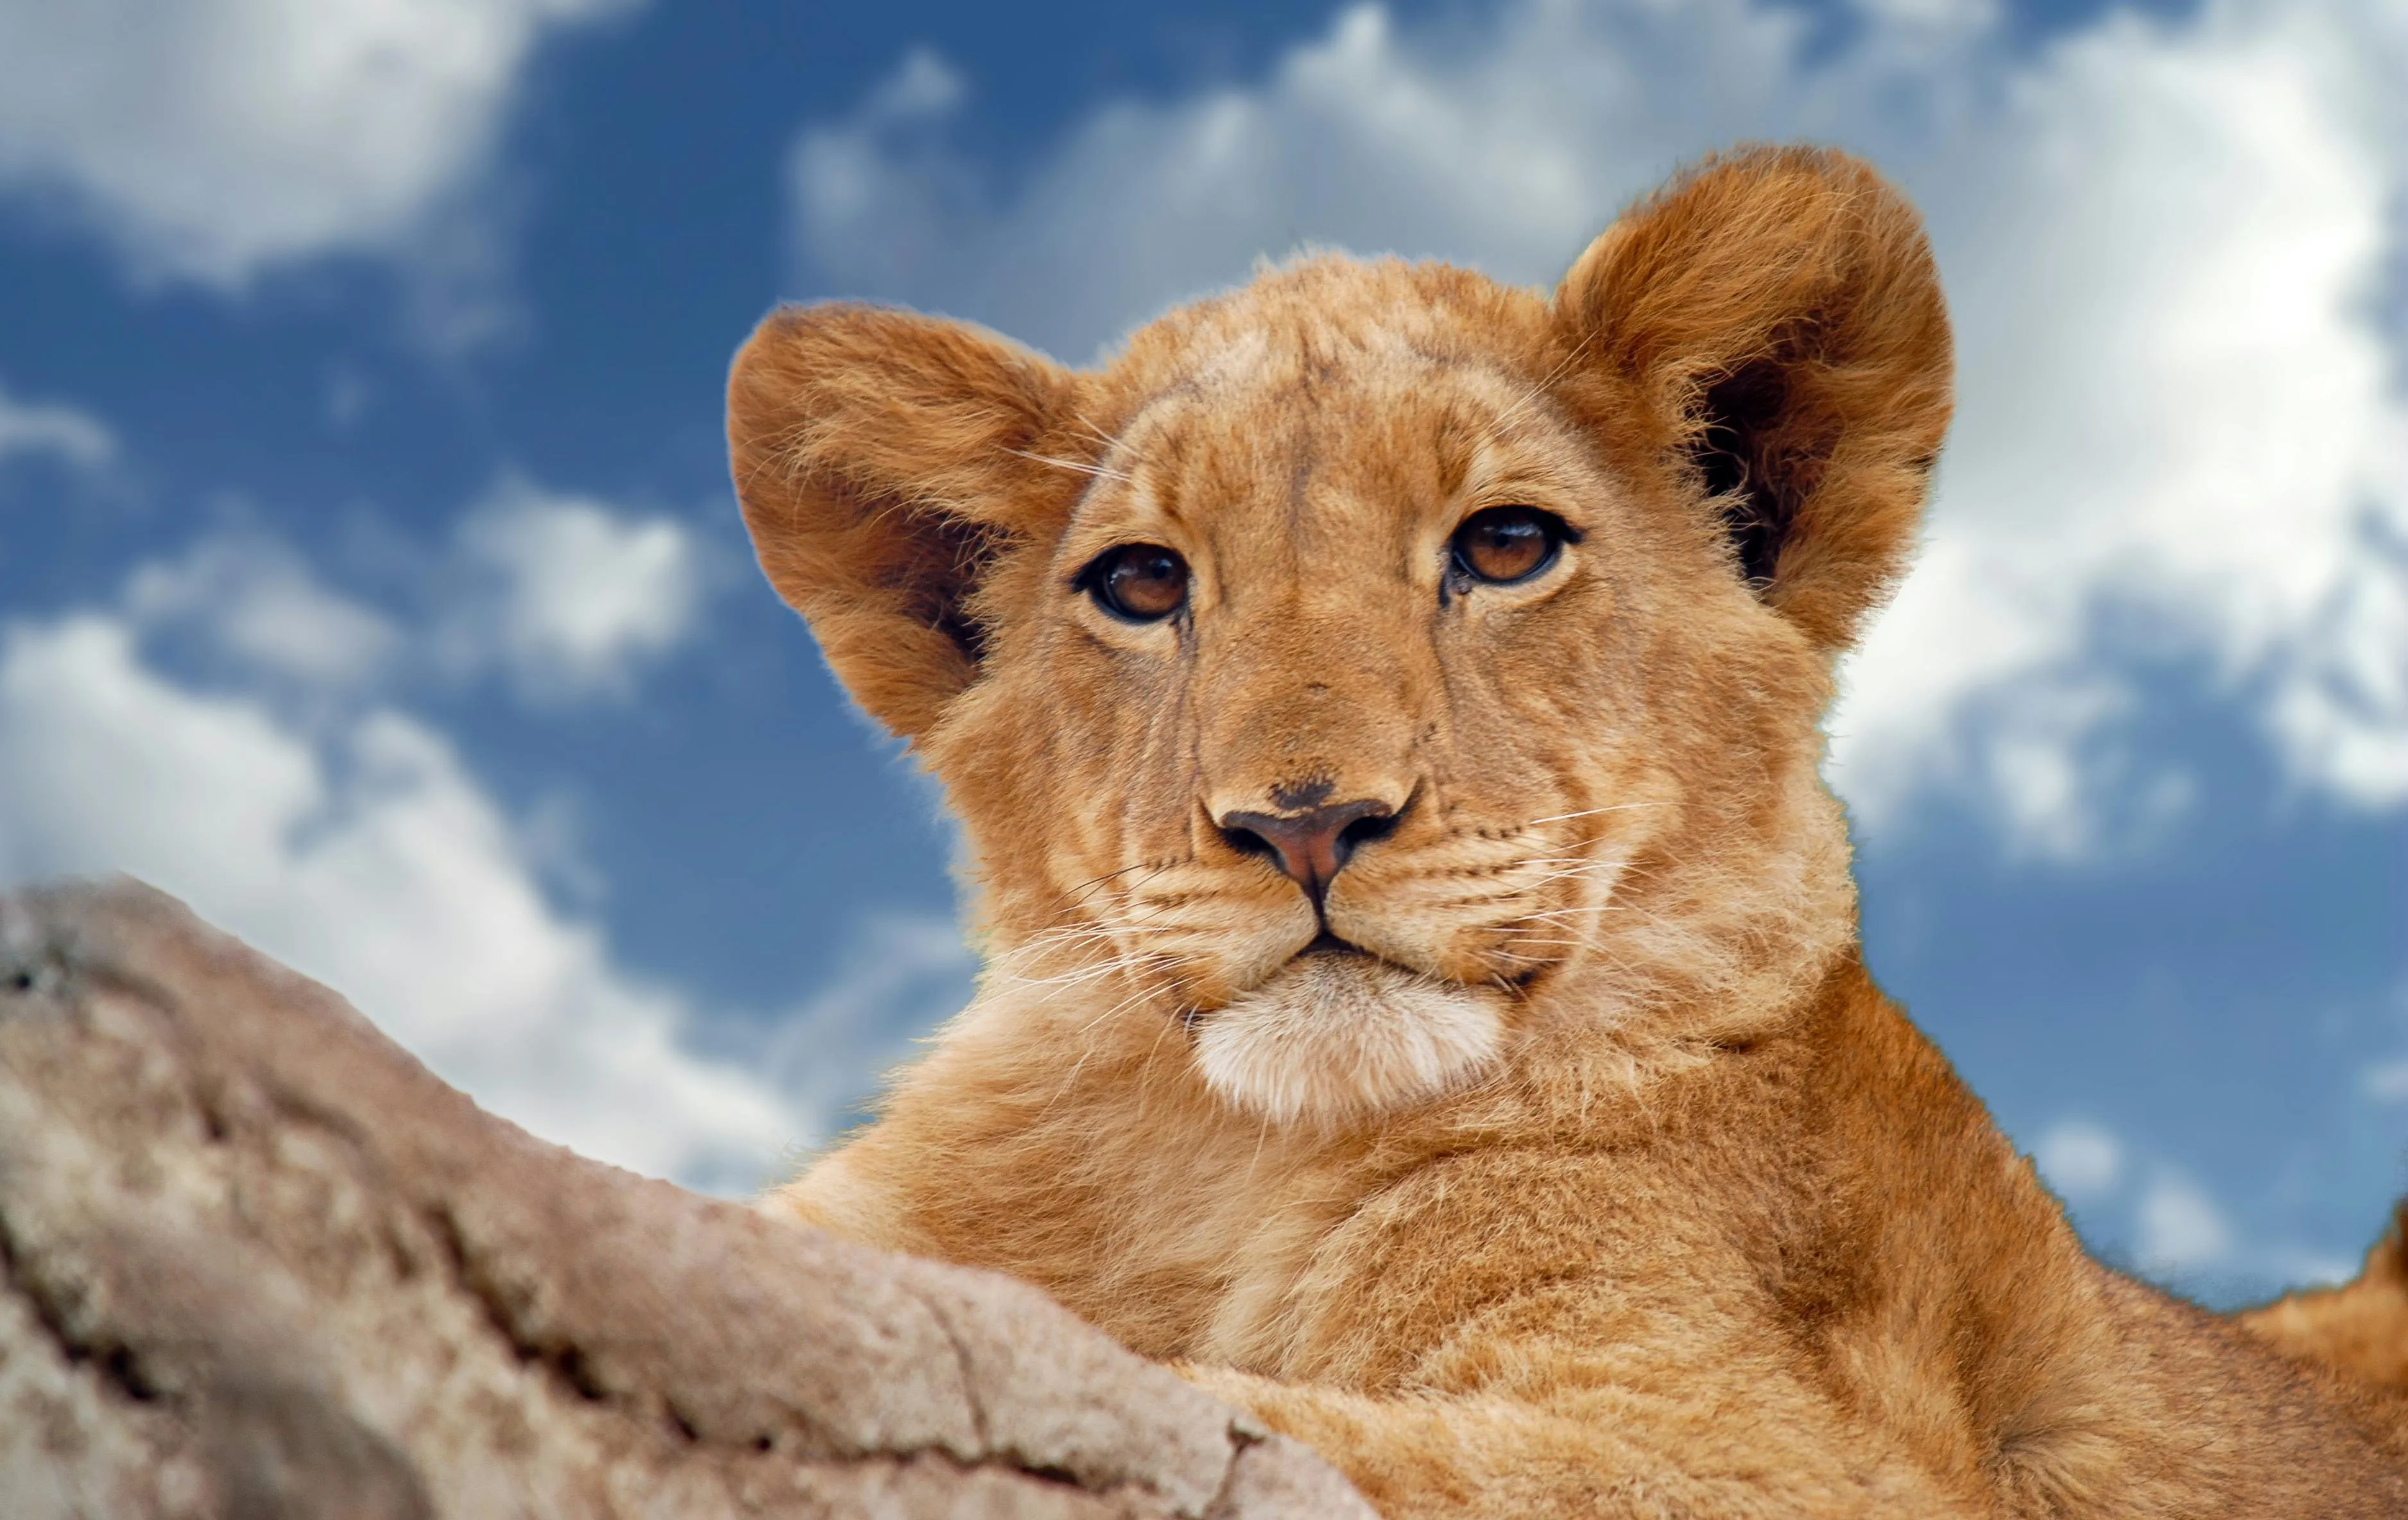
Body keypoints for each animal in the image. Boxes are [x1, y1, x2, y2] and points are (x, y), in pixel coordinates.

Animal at [726, 147, 2408, 1516]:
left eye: (1506, 546)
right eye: (1142, 585)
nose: (1305, 821)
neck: (1222, 1167)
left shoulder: (1775, 1453)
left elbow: (1241, 1423)